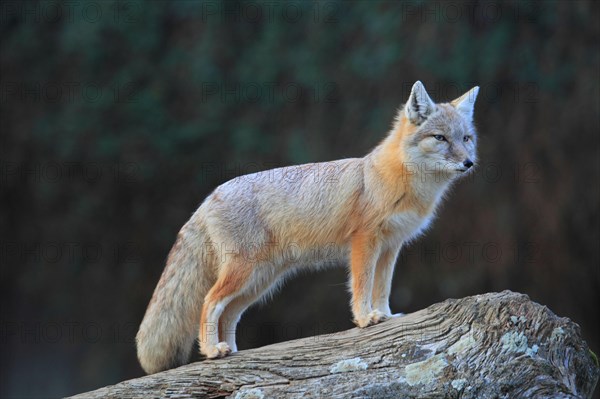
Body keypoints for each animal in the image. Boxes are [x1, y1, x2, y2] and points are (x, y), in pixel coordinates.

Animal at [135, 81, 478, 376]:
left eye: (466, 138)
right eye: (440, 138)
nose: (469, 163)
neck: (396, 179)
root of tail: (208, 197)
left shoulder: (391, 246)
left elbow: (382, 288)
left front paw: (386, 315)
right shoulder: (365, 241)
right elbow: (363, 285)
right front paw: (365, 318)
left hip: (259, 282)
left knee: (229, 313)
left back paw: (231, 351)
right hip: (244, 274)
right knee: (209, 303)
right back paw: (211, 351)